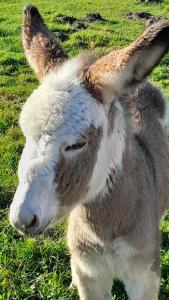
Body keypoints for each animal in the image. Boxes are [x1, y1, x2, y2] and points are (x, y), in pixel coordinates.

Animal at [9, 5, 169, 300]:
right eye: (25, 133)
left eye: (77, 145)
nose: (22, 220)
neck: (105, 231)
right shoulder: (90, 273)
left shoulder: (143, 277)